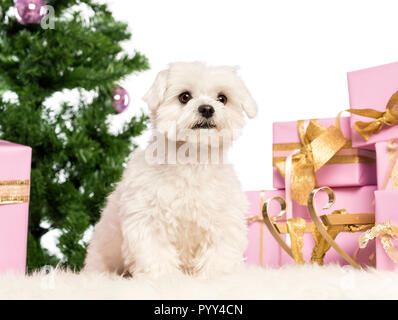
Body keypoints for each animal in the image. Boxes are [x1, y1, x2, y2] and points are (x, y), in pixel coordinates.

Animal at [84, 62, 258, 278]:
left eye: (222, 98)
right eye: (184, 96)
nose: (207, 108)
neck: (191, 161)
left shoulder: (224, 220)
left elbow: (219, 255)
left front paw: (215, 276)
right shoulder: (148, 220)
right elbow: (156, 255)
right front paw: (165, 278)